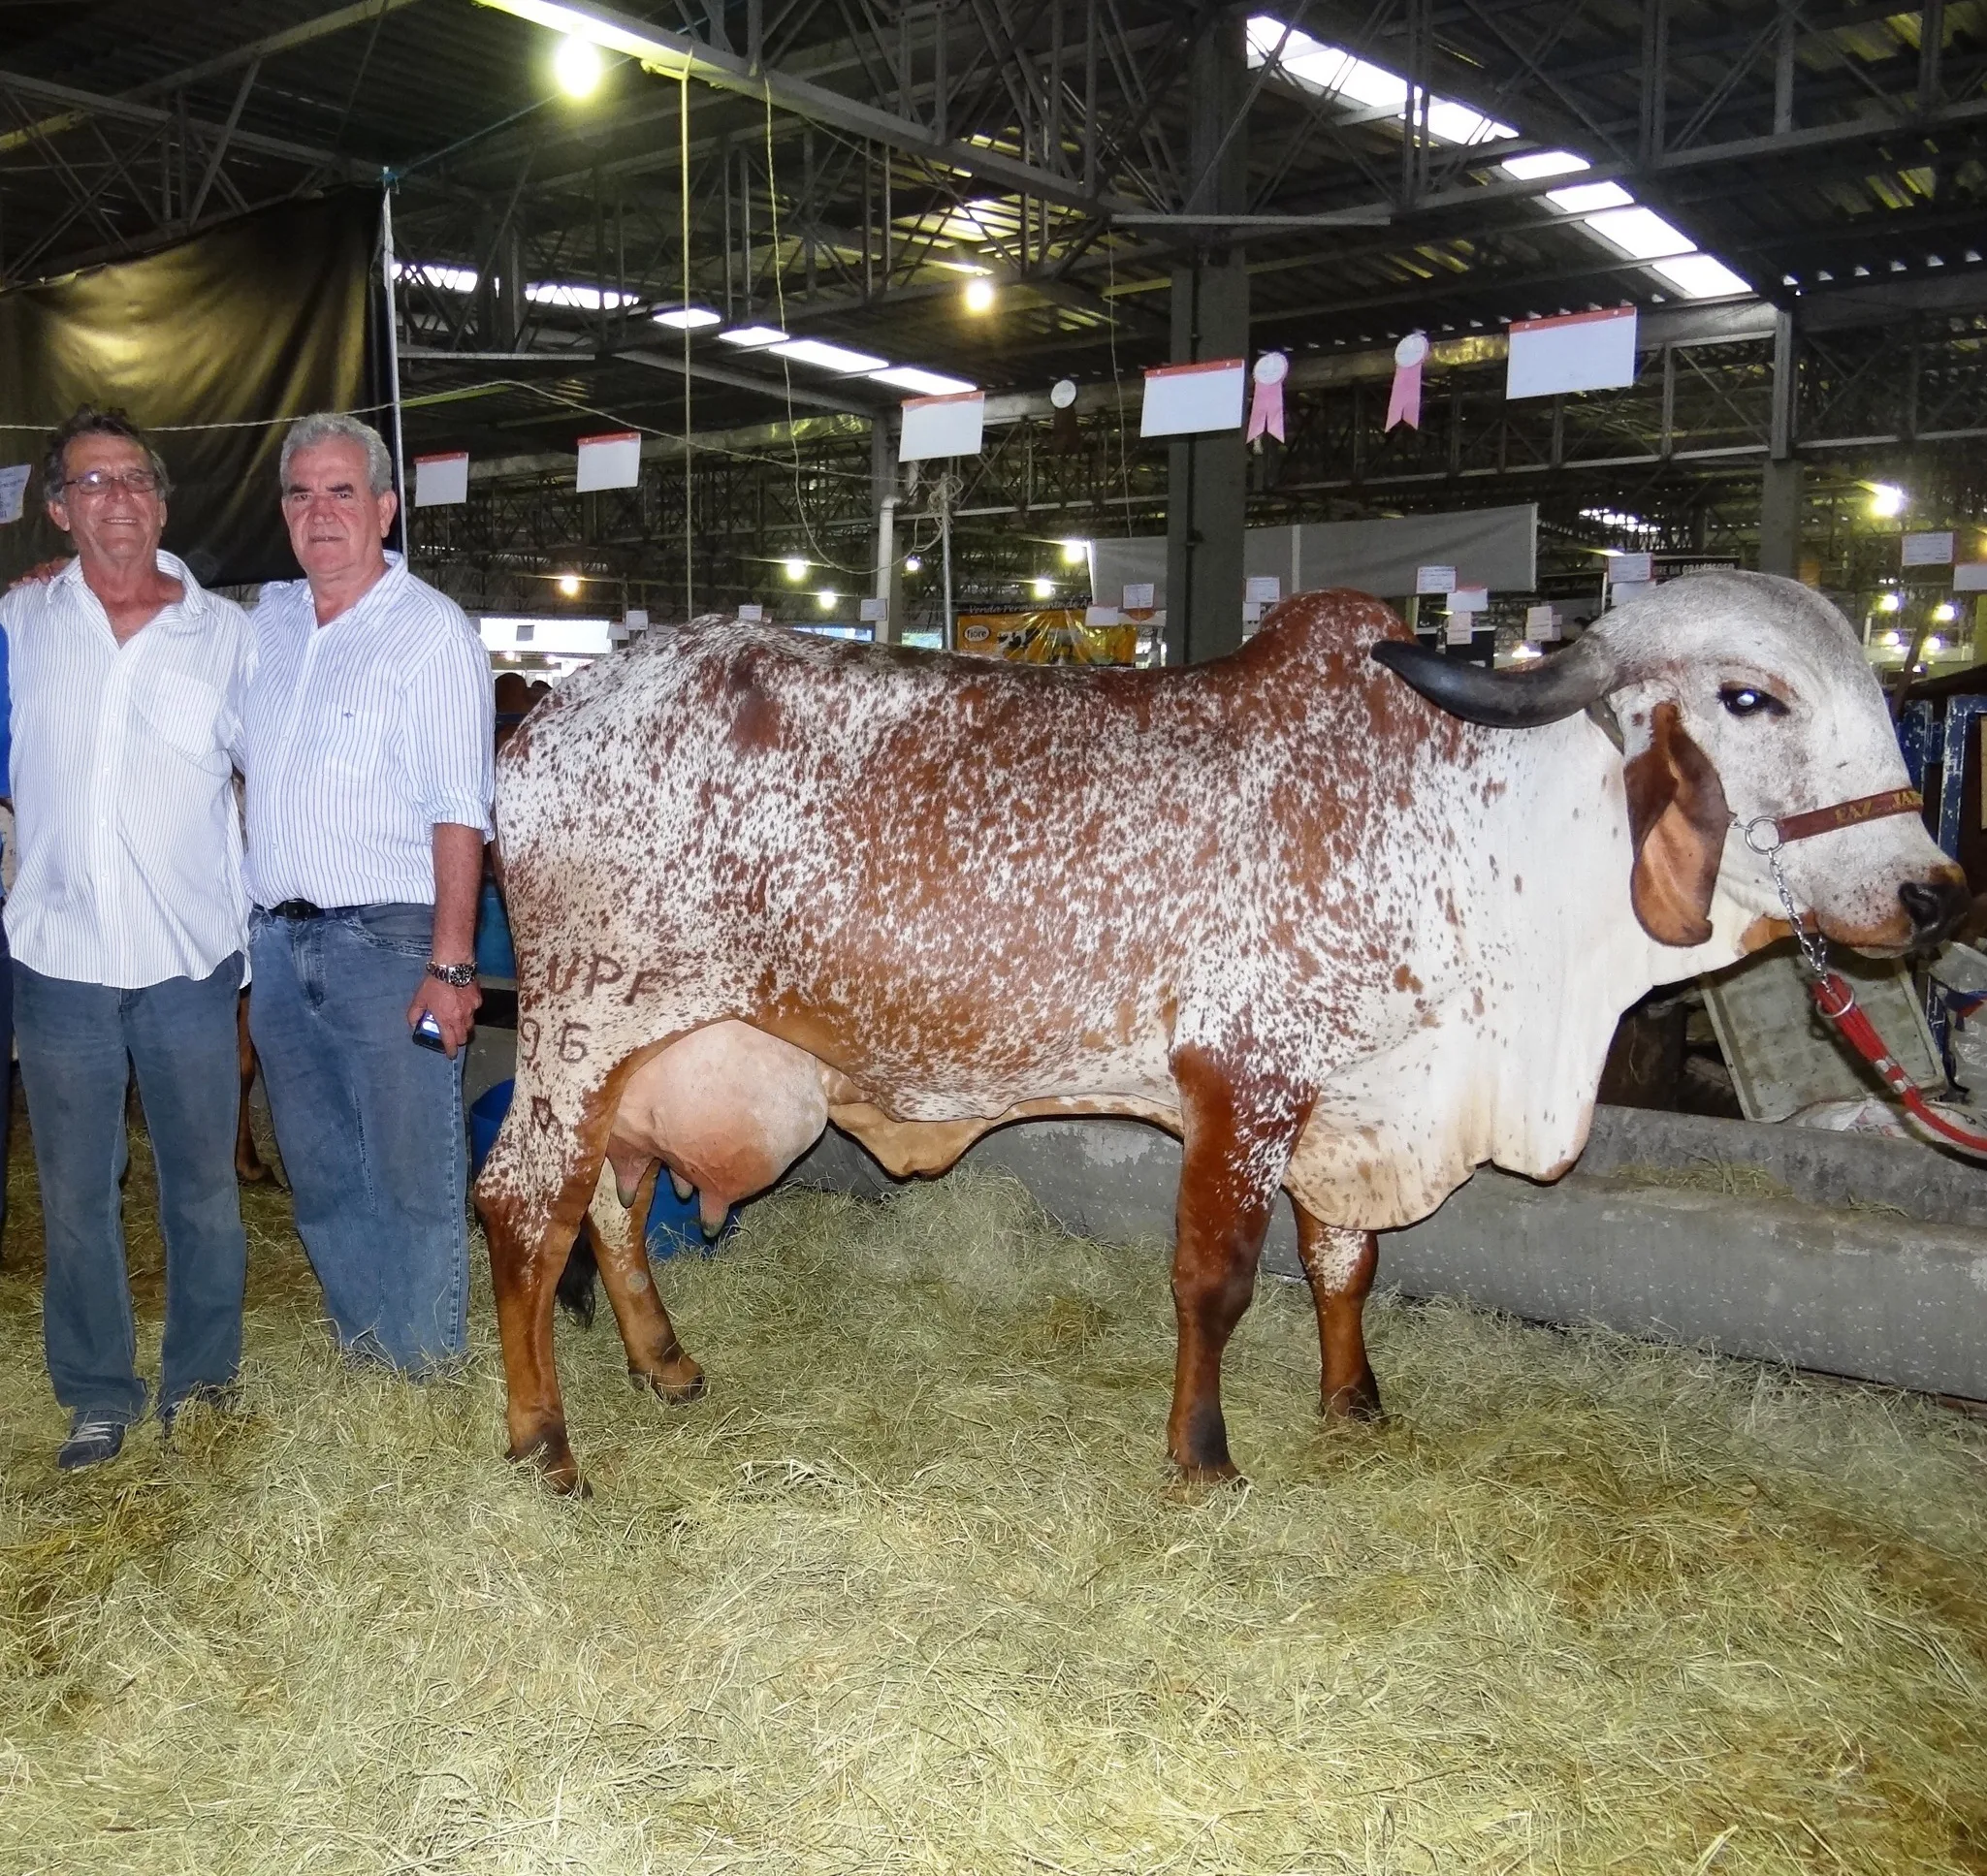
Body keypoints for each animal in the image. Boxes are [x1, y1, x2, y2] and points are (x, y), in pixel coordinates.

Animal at [476, 576, 1971, 1494]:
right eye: (1750, 698)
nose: (1931, 892)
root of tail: (549, 708)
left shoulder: (1351, 1091)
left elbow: (1346, 1261)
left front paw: (1353, 1400)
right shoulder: (1241, 1083)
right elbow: (1219, 1282)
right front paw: (1202, 1453)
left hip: (645, 1051)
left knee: (609, 1202)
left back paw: (664, 1363)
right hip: (580, 1020)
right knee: (522, 1205)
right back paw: (545, 1438)